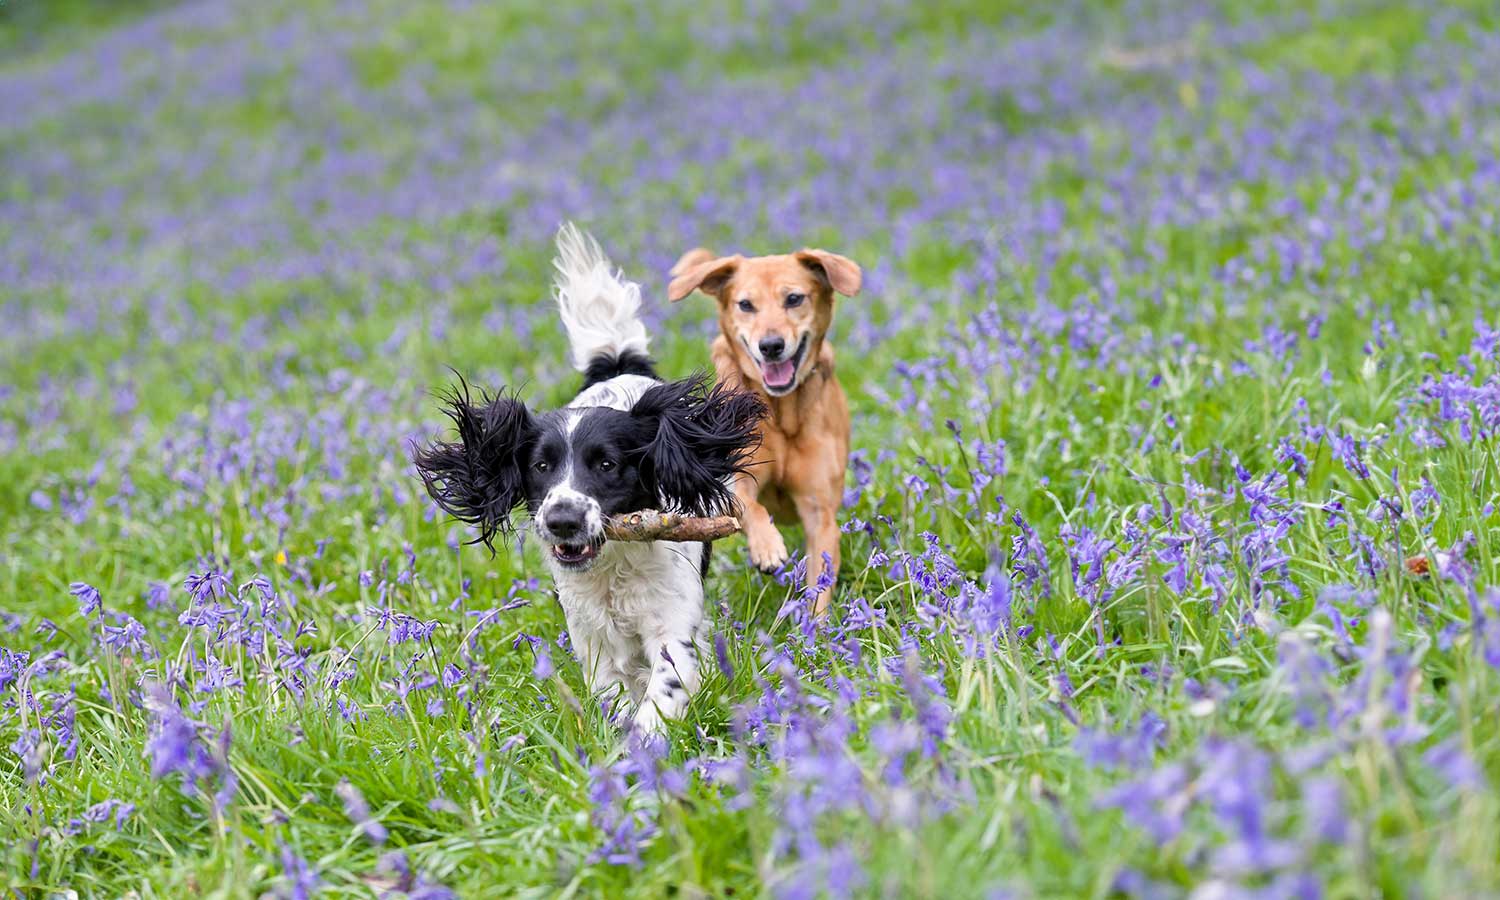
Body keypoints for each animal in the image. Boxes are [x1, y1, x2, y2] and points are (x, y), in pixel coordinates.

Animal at [414, 223, 756, 732]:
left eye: (607, 465)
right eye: (540, 467)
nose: (563, 520)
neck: (614, 567)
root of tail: (617, 364)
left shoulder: (672, 622)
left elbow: (664, 686)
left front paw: (644, 741)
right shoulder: (591, 634)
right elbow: (610, 691)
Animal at [666, 244, 864, 612]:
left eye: (794, 298)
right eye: (746, 304)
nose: (771, 345)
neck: (781, 411)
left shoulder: (819, 511)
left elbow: (820, 580)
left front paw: (816, 625)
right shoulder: (738, 479)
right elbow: (749, 505)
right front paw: (767, 547)